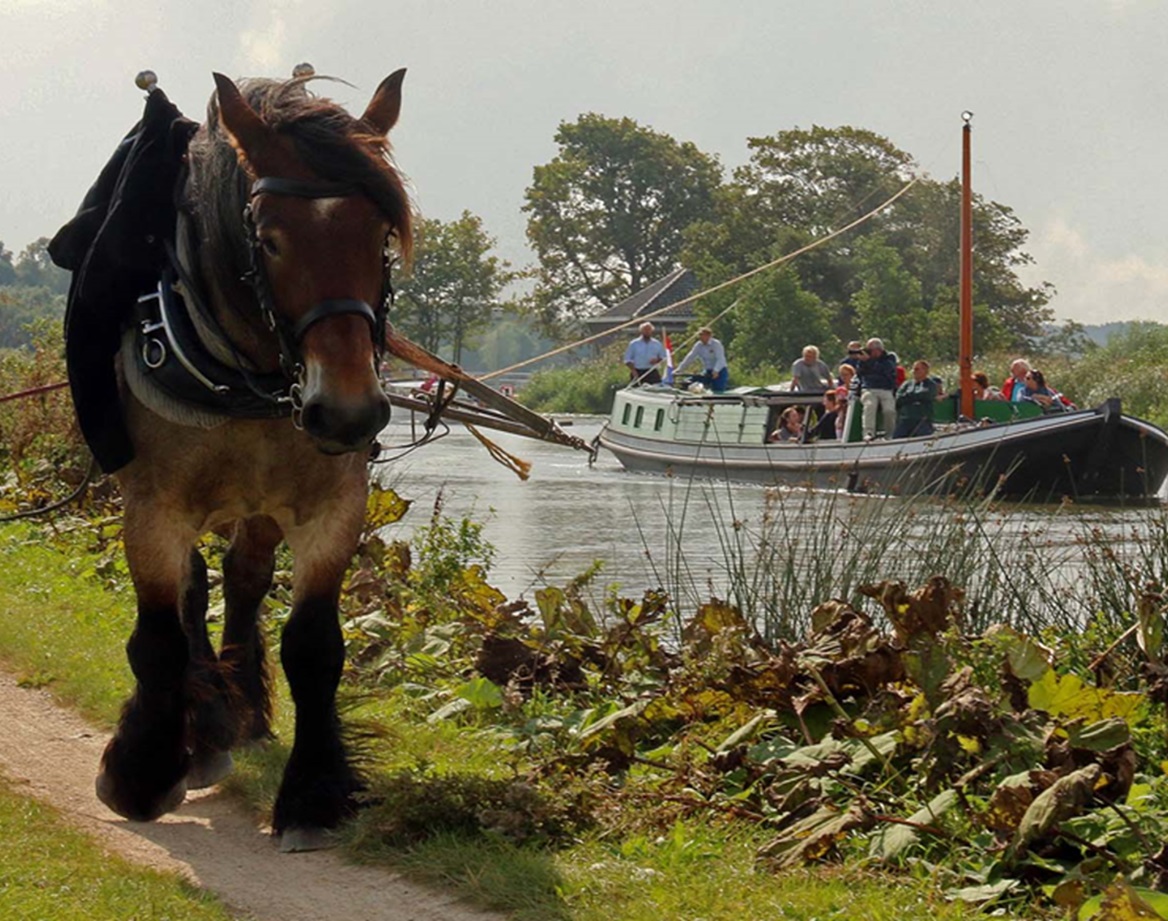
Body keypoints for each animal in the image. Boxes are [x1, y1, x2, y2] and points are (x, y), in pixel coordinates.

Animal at [96, 70, 415, 849]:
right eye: (269, 240)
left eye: (380, 235)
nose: (348, 411)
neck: (248, 383)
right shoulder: (152, 509)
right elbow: (159, 637)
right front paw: (143, 769)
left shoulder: (333, 508)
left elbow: (314, 644)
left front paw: (313, 792)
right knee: (191, 590)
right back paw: (205, 723)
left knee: (242, 578)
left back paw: (236, 713)